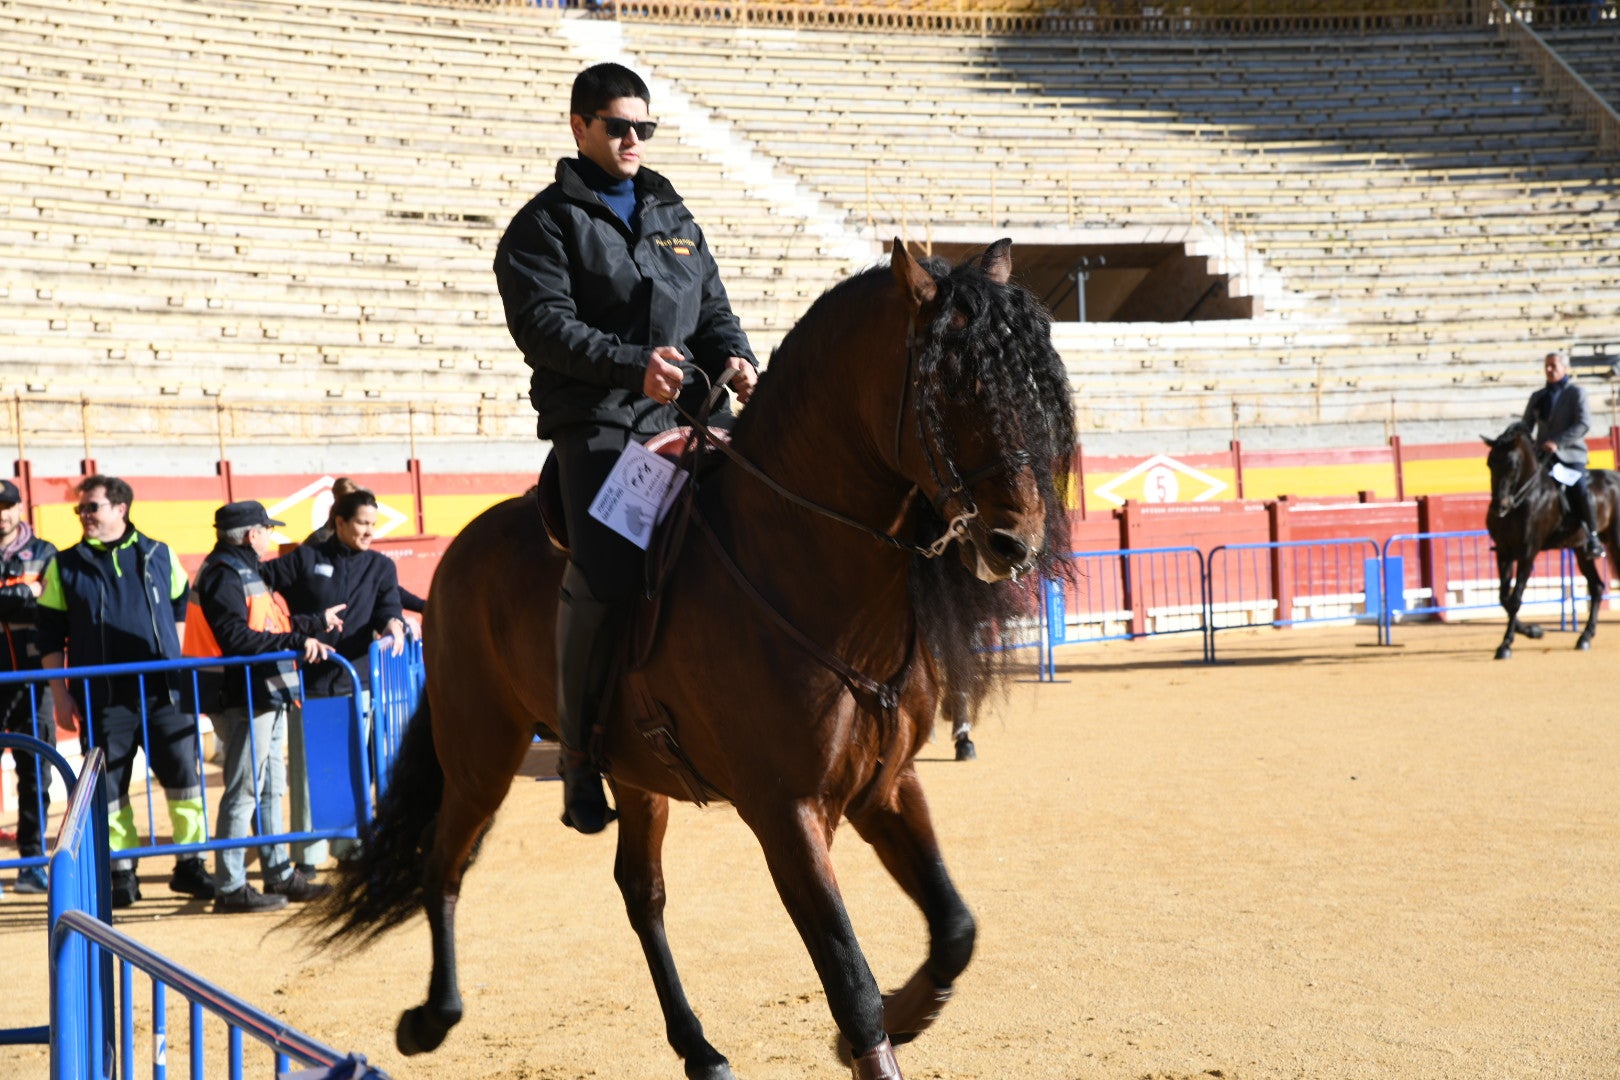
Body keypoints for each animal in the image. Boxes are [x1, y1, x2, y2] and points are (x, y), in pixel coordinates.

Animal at [311, 241, 1082, 1075]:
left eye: (1037, 382)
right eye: (954, 383)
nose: (1016, 543)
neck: (797, 561)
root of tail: (459, 551)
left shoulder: (884, 786)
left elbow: (954, 931)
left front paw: (900, 1018)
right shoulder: (787, 813)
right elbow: (850, 980)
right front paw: (867, 1034)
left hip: (633, 773)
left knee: (640, 892)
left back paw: (698, 1046)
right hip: (482, 752)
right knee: (445, 865)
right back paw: (431, 1017)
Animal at [1483, 420, 1620, 660]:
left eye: (1511, 465)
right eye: (1490, 463)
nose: (1499, 506)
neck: (1524, 498)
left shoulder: (1528, 553)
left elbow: (1516, 598)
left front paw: (1506, 644)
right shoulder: (1504, 552)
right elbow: (1504, 598)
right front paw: (1533, 631)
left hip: (1617, 539)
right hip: (1581, 550)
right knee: (1596, 587)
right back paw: (1585, 637)